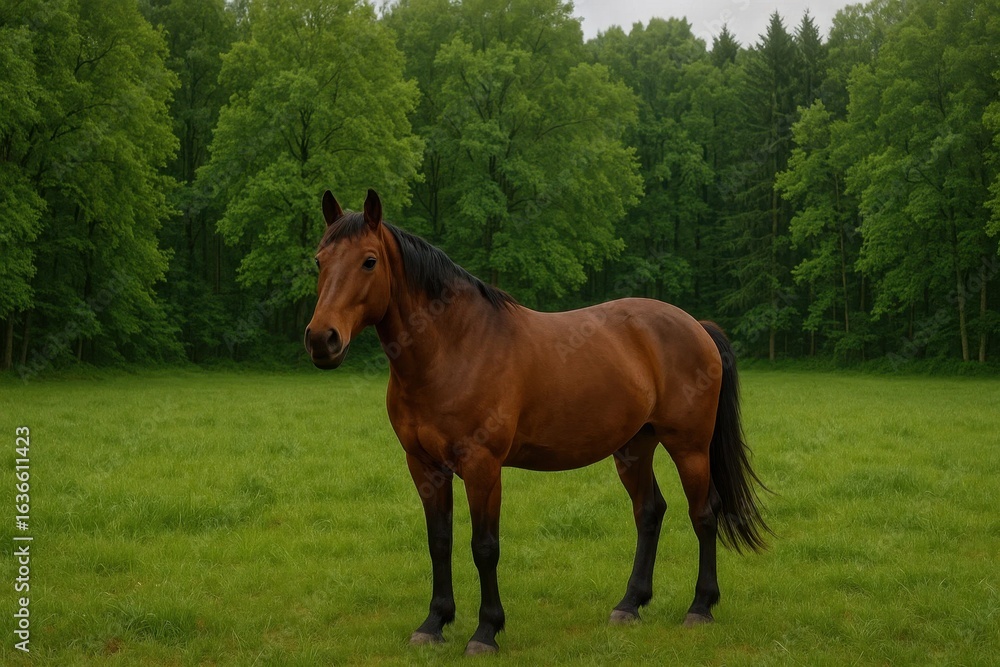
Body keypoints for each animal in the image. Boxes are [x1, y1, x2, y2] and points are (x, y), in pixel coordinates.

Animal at [305, 189, 770, 656]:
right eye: (319, 260)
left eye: (369, 261)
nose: (322, 339)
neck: (454, 347)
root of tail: (696, 326)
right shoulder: (424, 466)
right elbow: (439, 542)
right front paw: (434, 623)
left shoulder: (483, 467)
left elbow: (484, 547)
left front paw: (486, 631)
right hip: (634, 447)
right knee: (649, 512)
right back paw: (630, 604)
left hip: (689, 447)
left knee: (704, 514)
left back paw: (700, 607)